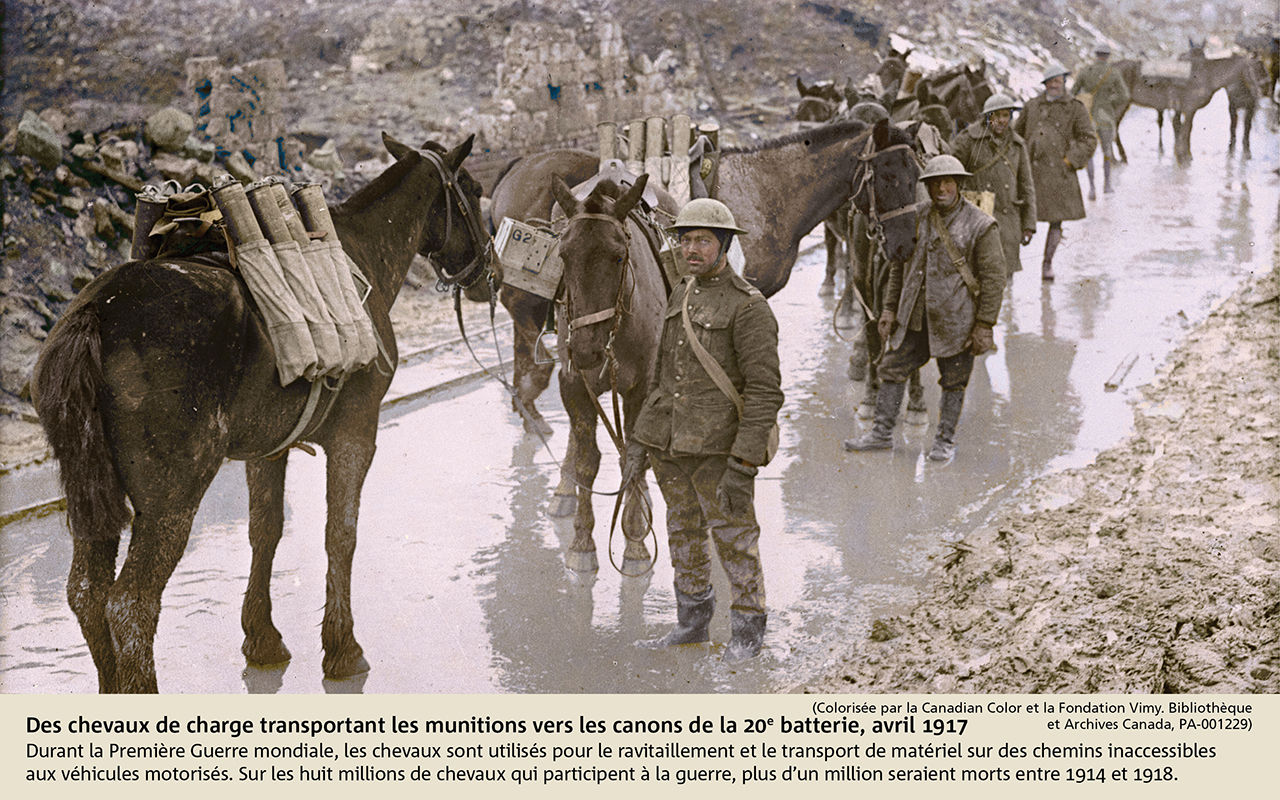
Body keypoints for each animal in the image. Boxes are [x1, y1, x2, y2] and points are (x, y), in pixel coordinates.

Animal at [30, 134, 499, 691]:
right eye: (474, 190)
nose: (491, 275)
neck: (360, 253)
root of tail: (94, 314)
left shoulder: (267, 449)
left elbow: (266, 532)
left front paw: (263, 639)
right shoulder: (357, 434)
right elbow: (340, 534)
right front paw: (343, 648)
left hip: (92, 495)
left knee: (86, 592)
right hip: (173, 497)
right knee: (130, 604)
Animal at [547, 174, 670, 573]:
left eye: (617, 257)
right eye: (564, 256)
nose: (586, 349)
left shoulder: (641, 390)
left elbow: (633, 458)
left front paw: (634, 540)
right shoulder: (573, 384)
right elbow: (588, 461)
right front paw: (582, 541)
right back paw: (564, 490)